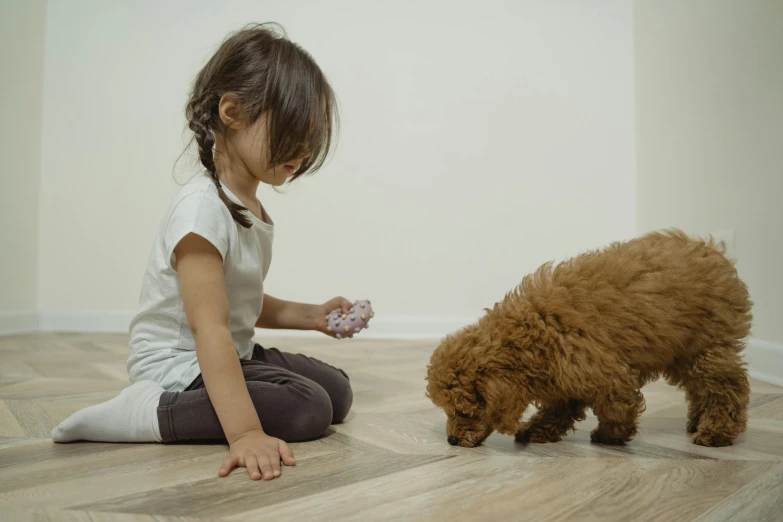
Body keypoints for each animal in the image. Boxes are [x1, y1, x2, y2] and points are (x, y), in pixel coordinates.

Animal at [428, 230, 752, 444]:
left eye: (463, 411)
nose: (452, 440)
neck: (528, 334)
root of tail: (714, 251)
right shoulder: (563, 376)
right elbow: (561, 407)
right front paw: (537, 430)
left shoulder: (602, 369)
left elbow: (616, 403)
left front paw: (612, 434)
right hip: (681, 352)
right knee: (700, 389)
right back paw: (697, 421)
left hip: (707, 347)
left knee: (727, 387)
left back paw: (717, 430)